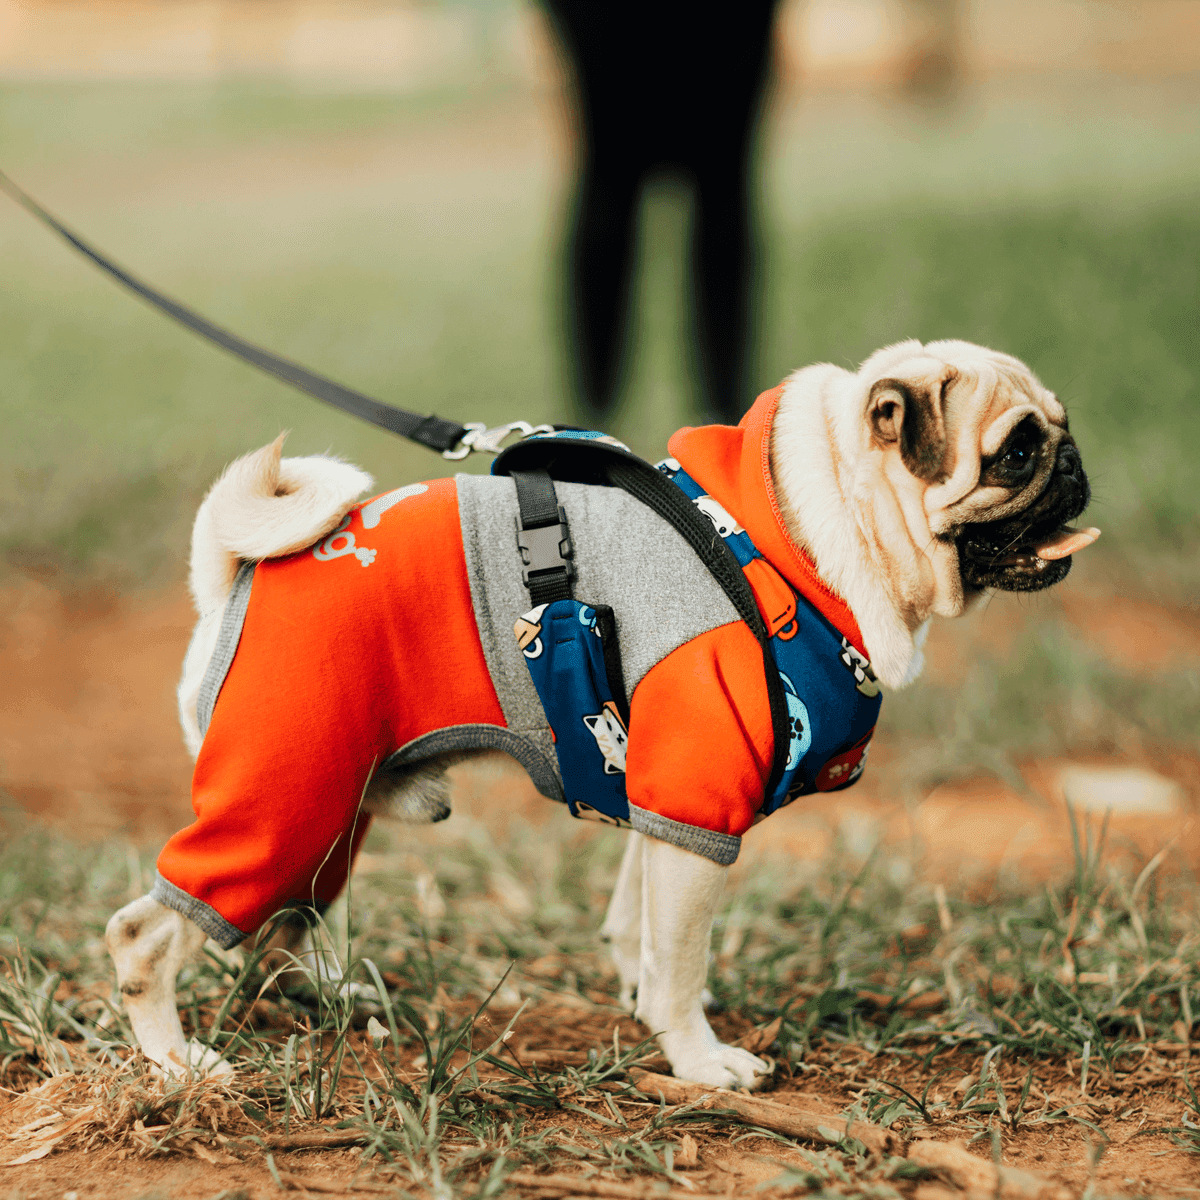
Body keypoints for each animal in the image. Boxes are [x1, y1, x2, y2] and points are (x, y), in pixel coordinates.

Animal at [105, 338, 1099, 1089]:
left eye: (1057, 427)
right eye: (1016, 450)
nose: (1072, 460)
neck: (792, 534)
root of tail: (235, 577)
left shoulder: (668, 794)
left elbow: (641, 928)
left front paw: (642, 996)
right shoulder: (700, 795)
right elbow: (680, 962)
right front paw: (700, 1060)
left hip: (332, 804)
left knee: (287, 921)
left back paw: (336, 996)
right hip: (283, 794)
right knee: (149, 932)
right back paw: (179, 1062)